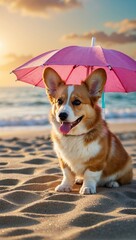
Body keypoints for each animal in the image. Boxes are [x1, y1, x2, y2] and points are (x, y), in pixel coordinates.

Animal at [43, 66, 133, 194]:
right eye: (59, 101)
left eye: (77, 102)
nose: (62, 115)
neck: (74, 136)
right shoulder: (63, 160)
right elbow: (67, 174)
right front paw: (65, 186)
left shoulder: (96, 162)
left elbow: (90, 175)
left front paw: (87, 188)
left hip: (127, 165)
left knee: (122, 180)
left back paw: (112, 183)